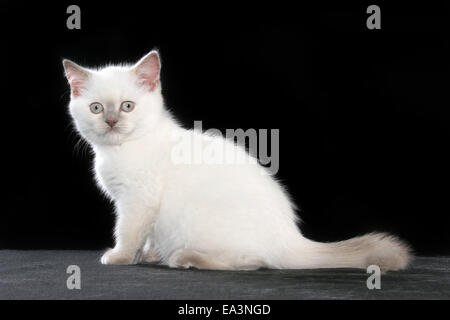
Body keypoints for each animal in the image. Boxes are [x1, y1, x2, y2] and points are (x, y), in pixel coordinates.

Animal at [63, 50, 412, 270]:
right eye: (96, 108)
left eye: (127, 106)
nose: (111, 122)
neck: (120, 149)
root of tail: (292, 239)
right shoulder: (140, 206)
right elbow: (146, 236)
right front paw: (146, 255)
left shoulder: (137, 200)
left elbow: (127, 231)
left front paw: (120, 256)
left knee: (253, 262)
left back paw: (186, 259)